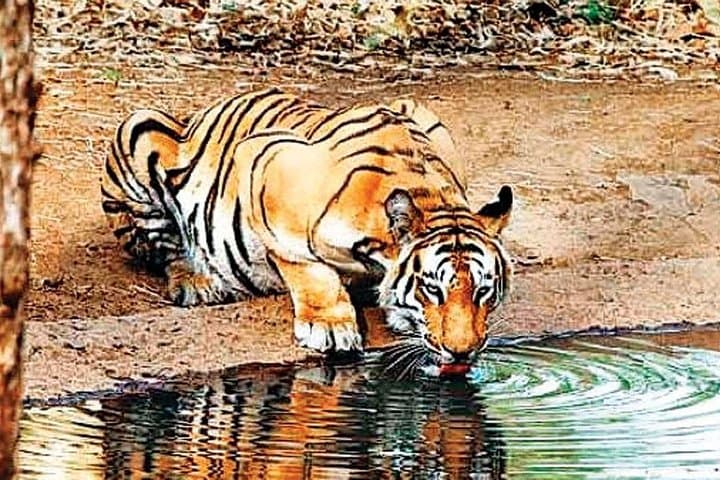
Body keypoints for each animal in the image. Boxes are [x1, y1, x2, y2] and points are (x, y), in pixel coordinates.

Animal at [101, 87, 513, 375]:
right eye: (433, 290)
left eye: (483, 291)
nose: (462, 352)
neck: (431, 196)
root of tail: (195, 115)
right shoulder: (265, 163)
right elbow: (305, 264)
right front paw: (330, 327)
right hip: (139, 127)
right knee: (165, 247)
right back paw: (198, 283)